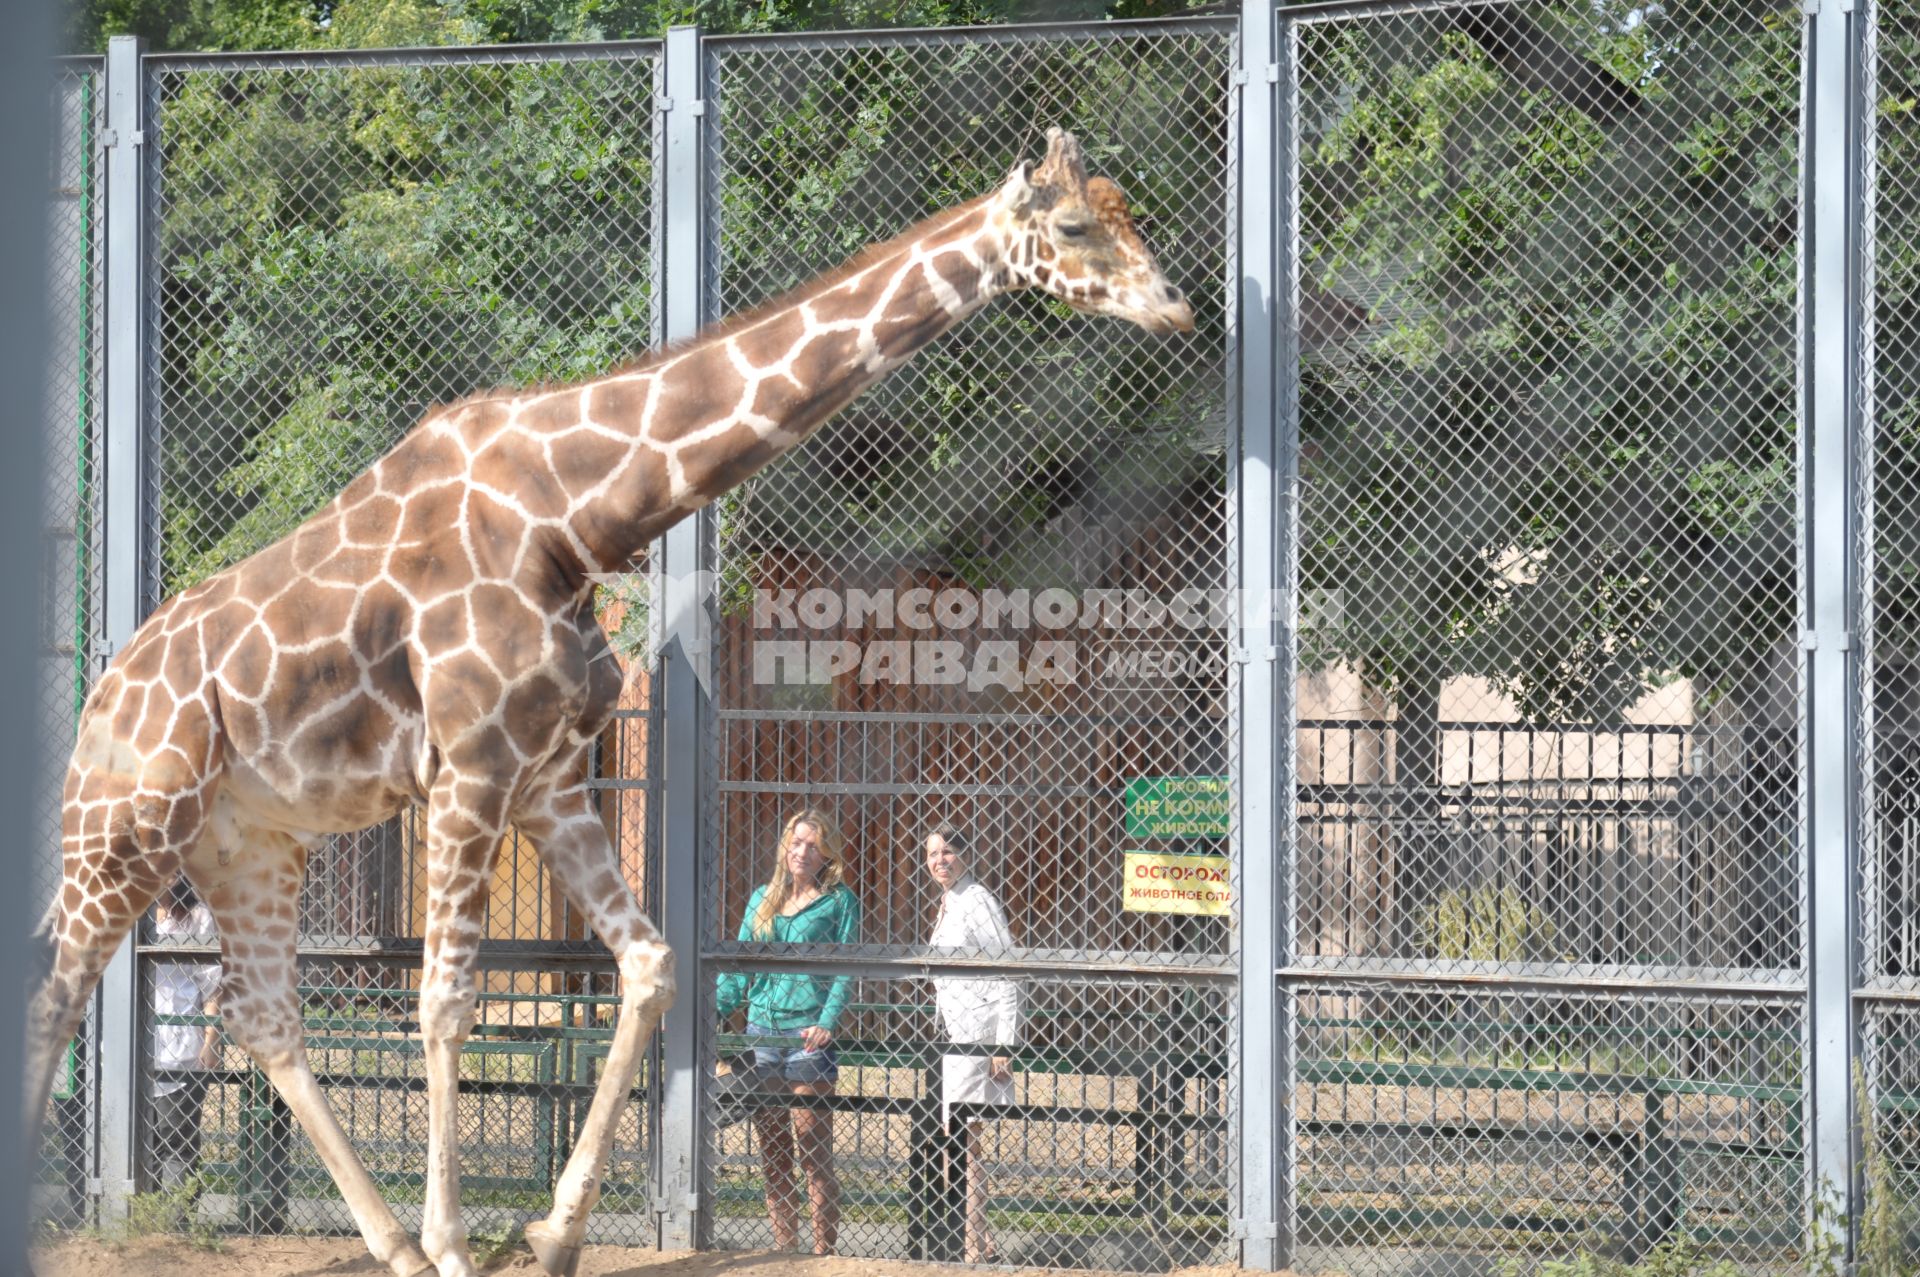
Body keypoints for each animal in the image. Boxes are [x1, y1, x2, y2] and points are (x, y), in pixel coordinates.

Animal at [22, 121, 1182, 1275]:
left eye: (1129, 211)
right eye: (1072, 226)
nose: (1173, 305)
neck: (569, 518)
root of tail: (98, 697)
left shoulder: (551, 777)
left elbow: (654, 965)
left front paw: (550, 1231)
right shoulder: (470, 770)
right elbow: (447, 999)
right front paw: (459, 1243)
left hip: (248, 842)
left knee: (258, 1010)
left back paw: (389, 1240)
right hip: (125, 828)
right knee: (57, 991)